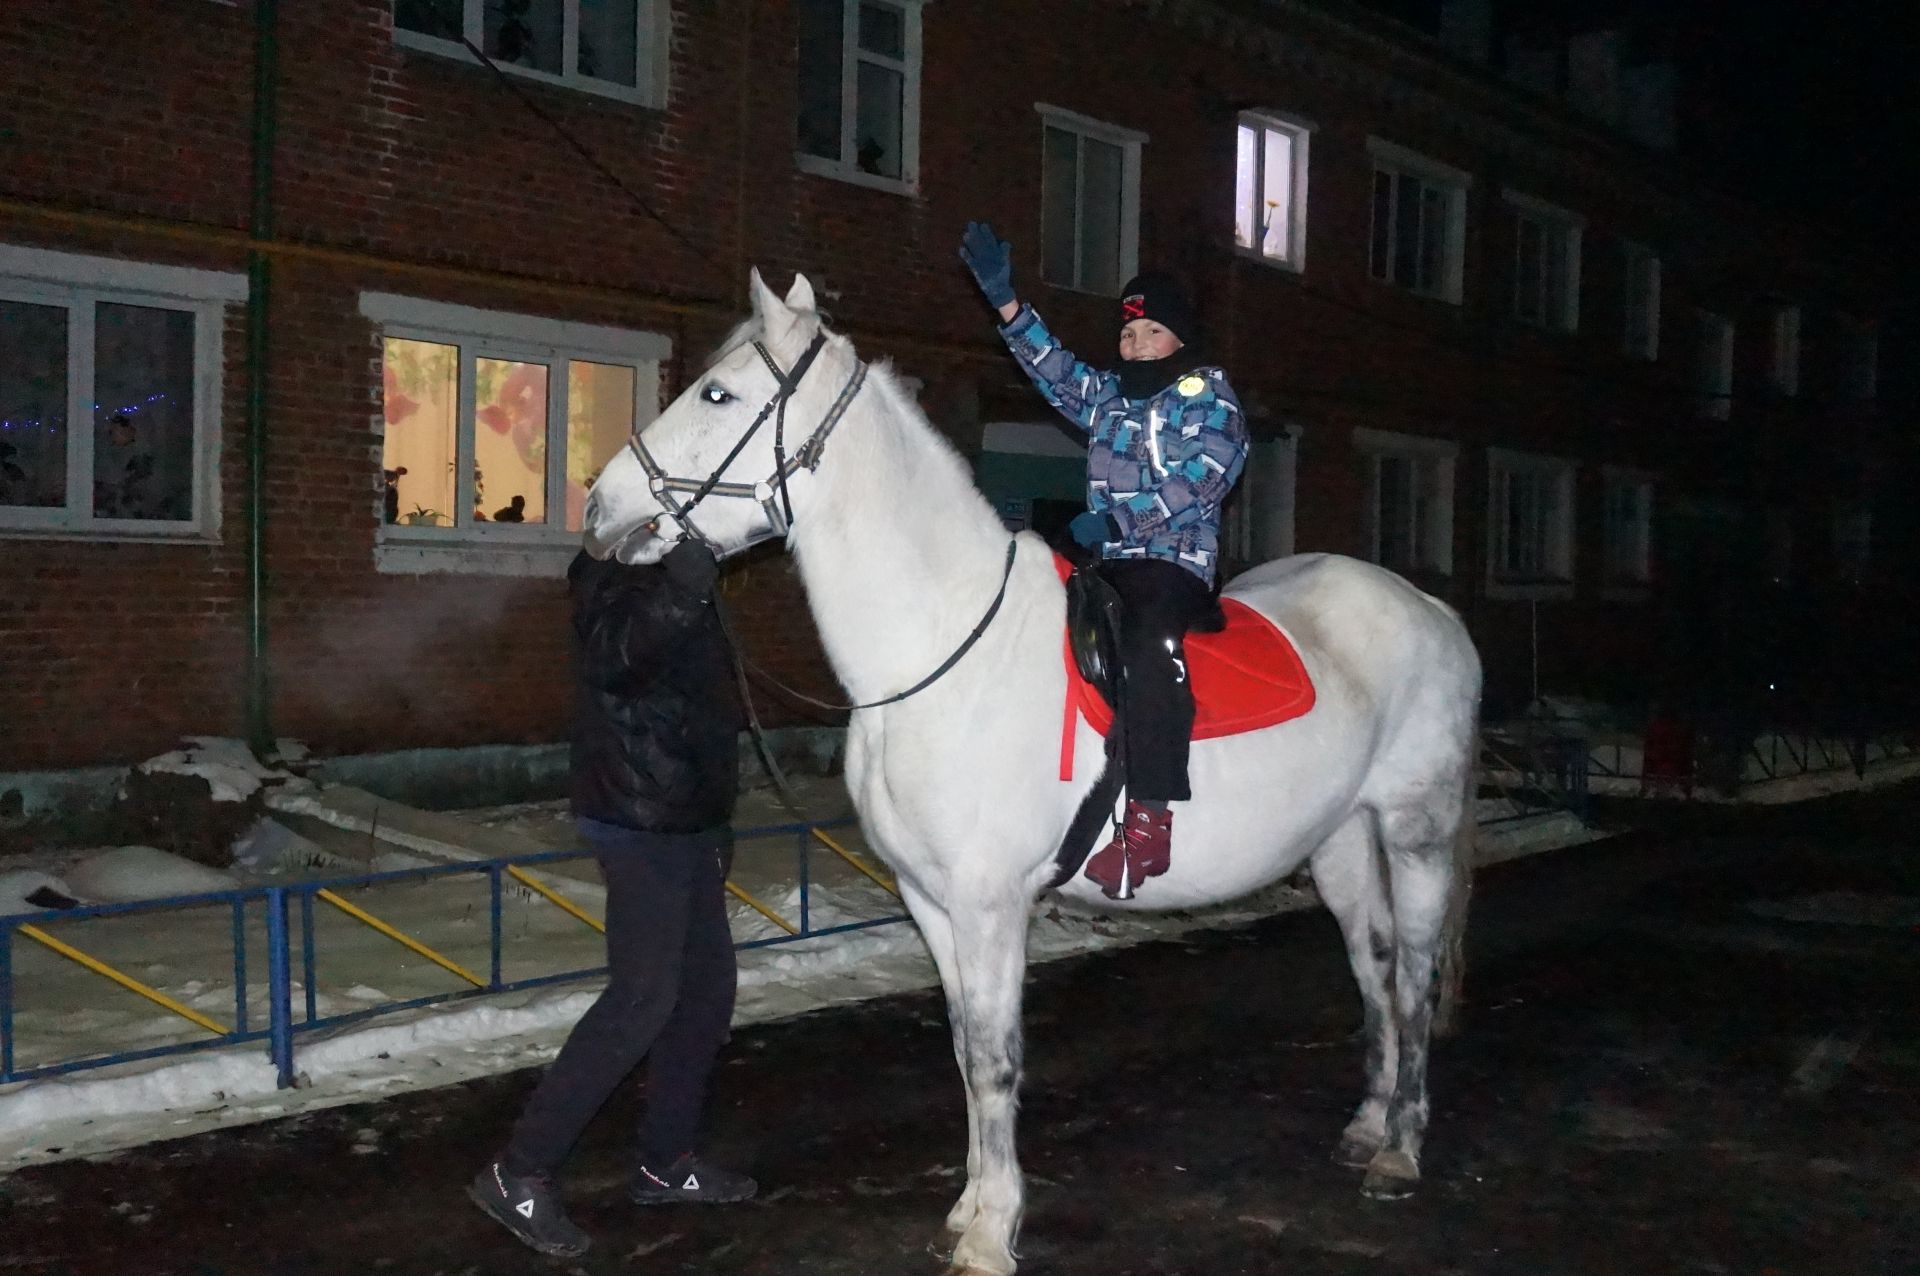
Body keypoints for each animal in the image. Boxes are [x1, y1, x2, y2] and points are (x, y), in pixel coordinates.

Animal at [583, 274, 1482, 1266]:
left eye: (718, 394)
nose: (598, 508)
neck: (941, 645)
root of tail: (1432, 608)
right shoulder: (930, 901)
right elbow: (965, 1051)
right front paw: (973, 1207)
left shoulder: (990, 903)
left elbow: (996, 1058)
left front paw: (993, 1233)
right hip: (1341, 843)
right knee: (1375, 963)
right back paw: (1368, 1124)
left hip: (1416, 833)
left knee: (1415, 976)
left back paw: (1400, 1149)